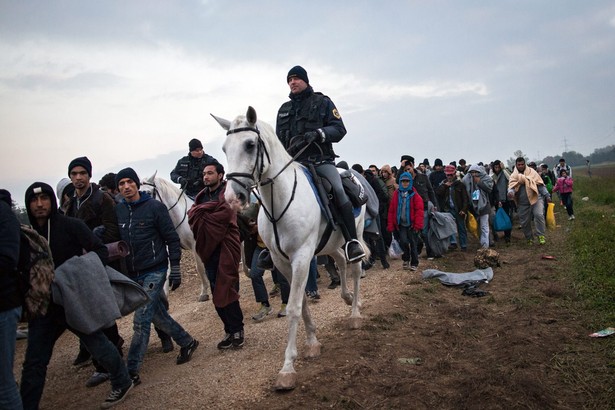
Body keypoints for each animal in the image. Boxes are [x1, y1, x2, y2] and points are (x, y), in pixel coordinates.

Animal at [142, 171, 212, 302]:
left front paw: (204, 292)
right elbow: (167, 271)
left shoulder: (195, 245)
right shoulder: (170, 247)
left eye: (148, 192)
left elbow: (199, 268)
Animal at [213, 105, 366, 390]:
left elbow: (294, 306)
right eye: (225, 148)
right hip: (330, 245)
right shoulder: (282, 261)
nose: (232, 198)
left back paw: (354, 313)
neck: (279, 202)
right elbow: (301, 302)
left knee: (354, 266)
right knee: (340, 262)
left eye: (250, 145)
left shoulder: (302, 257)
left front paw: (287, 367)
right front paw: (312, 342)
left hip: (356, 234)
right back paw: (348, 297)